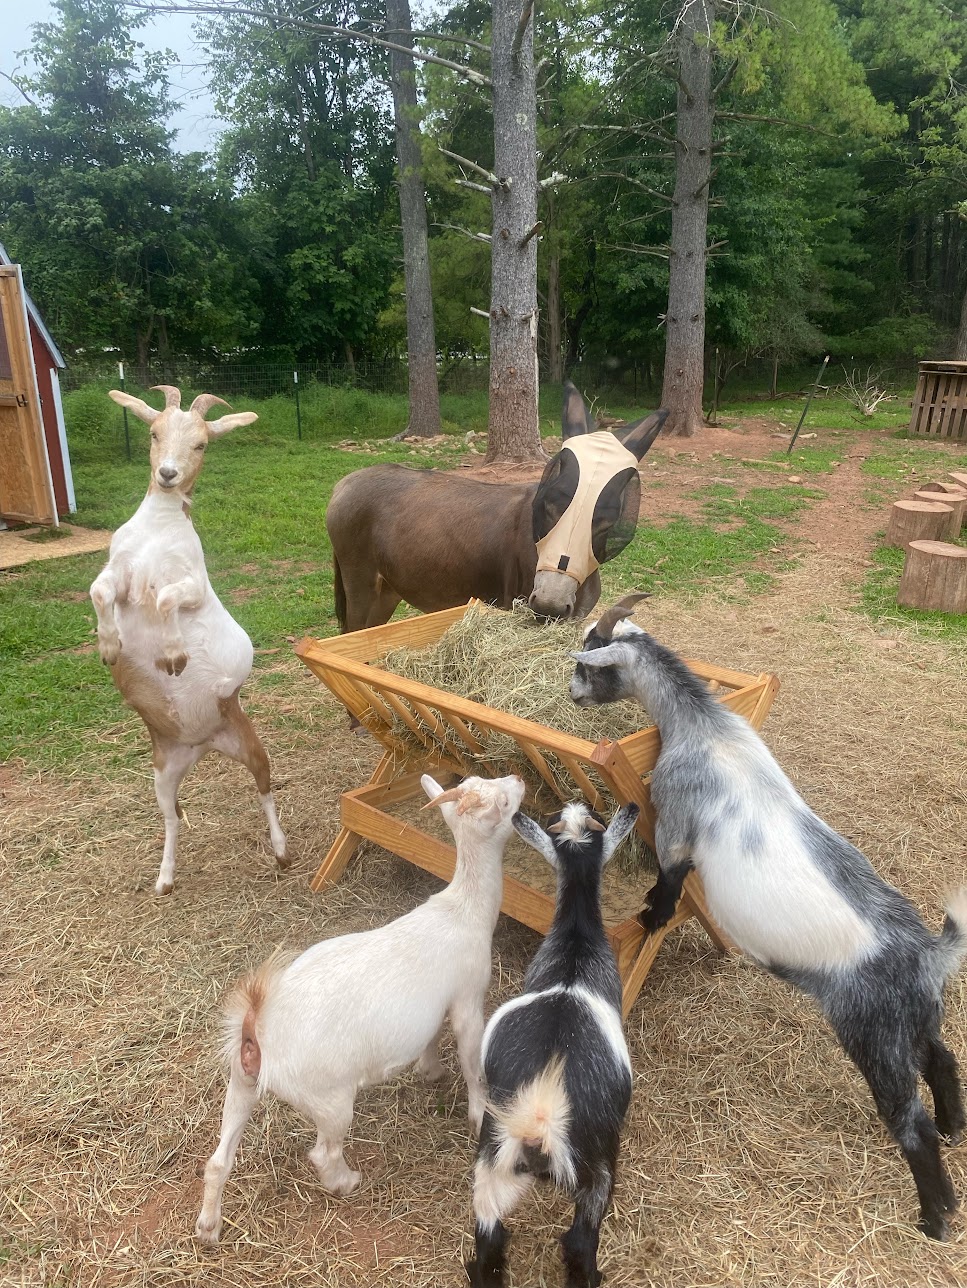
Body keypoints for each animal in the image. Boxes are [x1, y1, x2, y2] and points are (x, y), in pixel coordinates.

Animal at [89, 385, 286, 895]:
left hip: (248, 741)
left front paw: (174, 656)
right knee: (172, 816)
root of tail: (201, 744)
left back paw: (281, 851)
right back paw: (165, 877)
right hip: (163, 769)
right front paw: (110, 646)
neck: (158, 532)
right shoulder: (118, 571)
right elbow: (99, 591)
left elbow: (165, 599)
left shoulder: (193, 584)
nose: (168, 474)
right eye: (154, 433)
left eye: (201, 444)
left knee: (264, 789)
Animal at [195, 772, 525, 1246]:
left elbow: (431, 1035)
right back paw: (346, 1182)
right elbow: (471, 1058)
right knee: (322, 1152)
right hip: (329, 1100)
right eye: (502, 800)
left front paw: (429, 1070)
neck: (463, 909)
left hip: (241, 1080)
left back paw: (208, 1226)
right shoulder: (468, 996)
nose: (517, 778)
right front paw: (479, 1115)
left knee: (219, 1158)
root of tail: (258, 1026)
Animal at [326, 381, 667, 630]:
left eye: (606, 522)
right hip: (361, 582)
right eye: (549, 507)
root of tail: (345, 482)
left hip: (388, 589)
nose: (549, 606)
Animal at [467, 800, 639, 1287]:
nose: (575, 805)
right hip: (599, 1163)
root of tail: (542, 1109)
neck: (575, 945)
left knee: (490, 1239)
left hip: (492, 1155)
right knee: (579, 1242)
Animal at [570, 595, 967, 1240]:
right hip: (919, 1014)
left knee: (911, 1124)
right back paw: (957, 1128)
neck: (705, 729)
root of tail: (929, 954)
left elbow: (669, 881)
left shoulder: (673, 822)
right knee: (943, 1057)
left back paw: (935, 1216)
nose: (572, 692)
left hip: (872, 1031)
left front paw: (651, 920)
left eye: (589, 659)